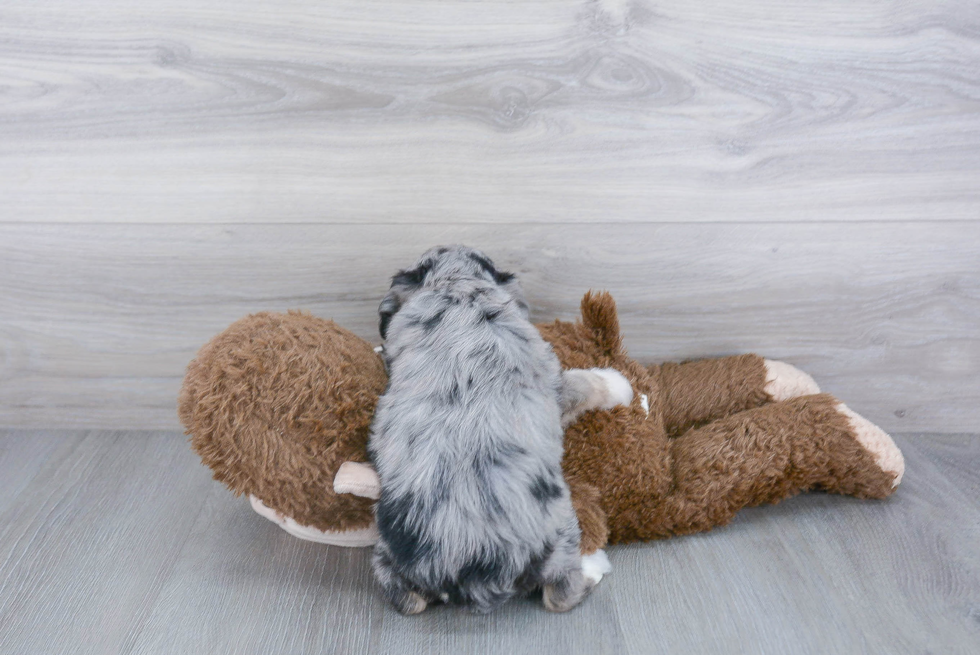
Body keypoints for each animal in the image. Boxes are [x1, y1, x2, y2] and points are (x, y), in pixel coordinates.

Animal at [370, 246, 636, 616]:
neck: (458, 289)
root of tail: (469, 564)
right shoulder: (553, 380)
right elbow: (586, 382)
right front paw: (620, 384)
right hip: (560, 532)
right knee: (560, 595)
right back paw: (593, 565)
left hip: (387, 555)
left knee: (406, 599)